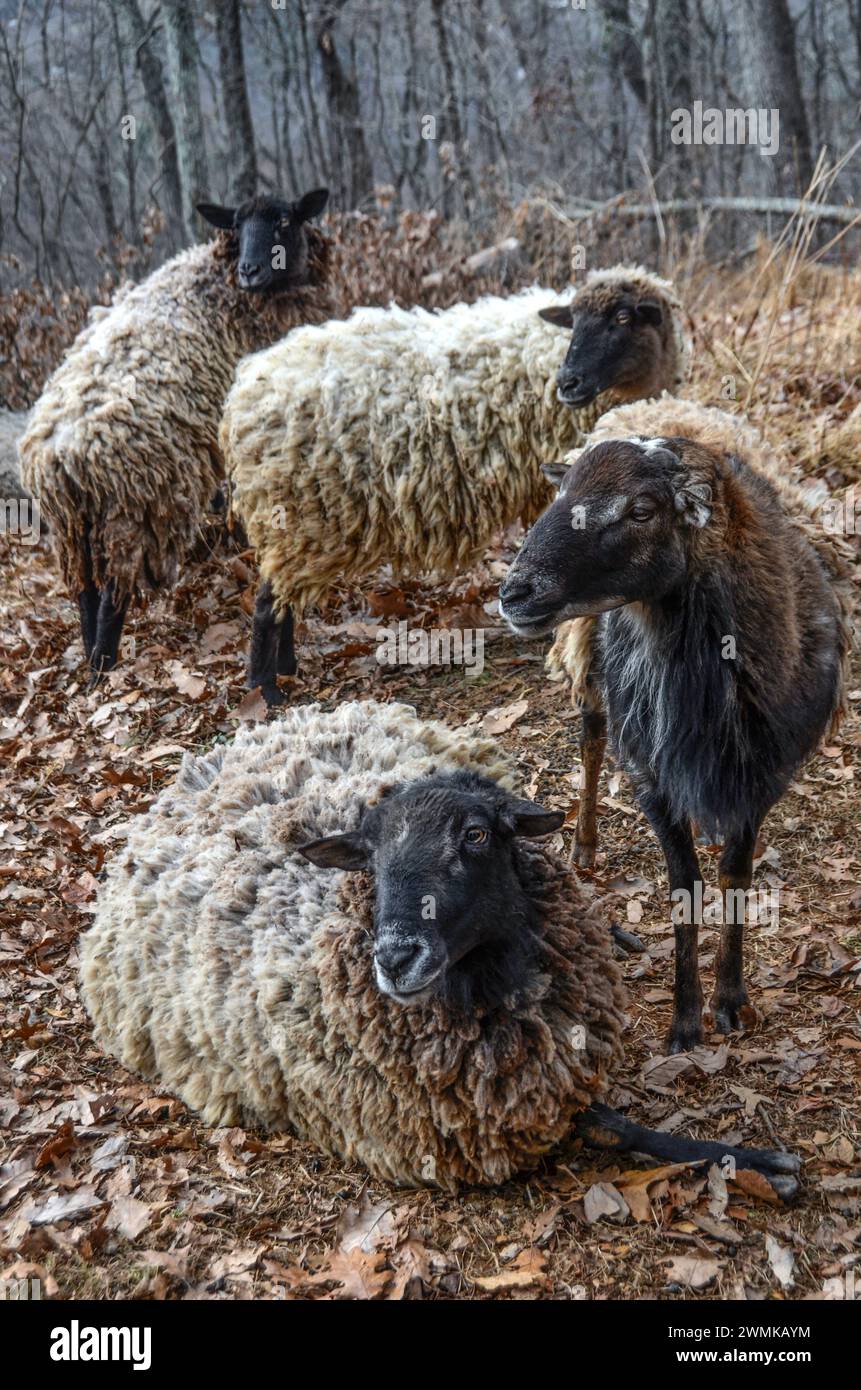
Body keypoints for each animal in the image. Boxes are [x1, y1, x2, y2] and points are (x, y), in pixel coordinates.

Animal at [20, 189, 332, 678]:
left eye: (284, 221)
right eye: (236, 226)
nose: (249, 270)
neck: (223, 283)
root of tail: (61, 458)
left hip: (71, 526)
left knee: (85, 593)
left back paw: (90, 662)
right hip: (133, 508)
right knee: (111, 599)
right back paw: (104, 669)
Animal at [79, 700, 801, 1200]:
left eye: (476, 835)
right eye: (369, 859)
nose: (394, 958)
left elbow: (625, 1126)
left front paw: (758, 1160)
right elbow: (614, 1127)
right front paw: (763, 1164)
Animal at [218, 261, 689, 706]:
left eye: (623, 318)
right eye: (573, 321)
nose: (567, 383)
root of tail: (245, 388)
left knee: (281, 596)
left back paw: (286, 668)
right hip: (294, 512)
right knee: (267, 602)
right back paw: (265, 687)